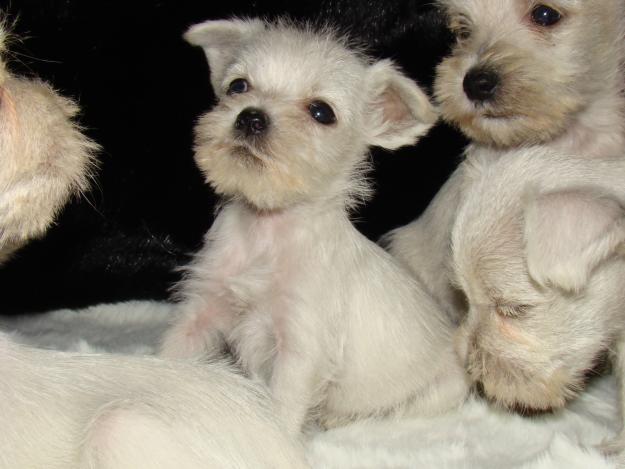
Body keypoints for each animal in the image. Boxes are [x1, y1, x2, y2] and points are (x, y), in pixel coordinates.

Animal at [158, 19, 466, 436]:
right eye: (238, 86)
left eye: (321, 112)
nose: (250, 116)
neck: (266, 228)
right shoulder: (204, 308)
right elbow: (171, 355)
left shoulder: (299, 349)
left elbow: (280, 410)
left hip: (440, 393)